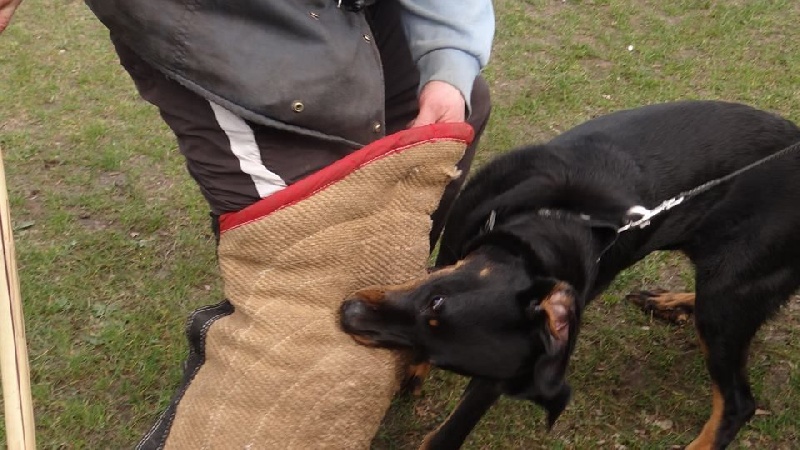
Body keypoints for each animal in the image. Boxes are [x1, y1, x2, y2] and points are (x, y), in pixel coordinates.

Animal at [338, 102, 800, 450]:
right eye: (436, 300)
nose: (347, 313)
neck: (559, 220)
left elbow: (454, 428)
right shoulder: (455, 242)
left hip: (729, 297)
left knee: (738, 404)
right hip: (726, 289)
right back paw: (671, 302)